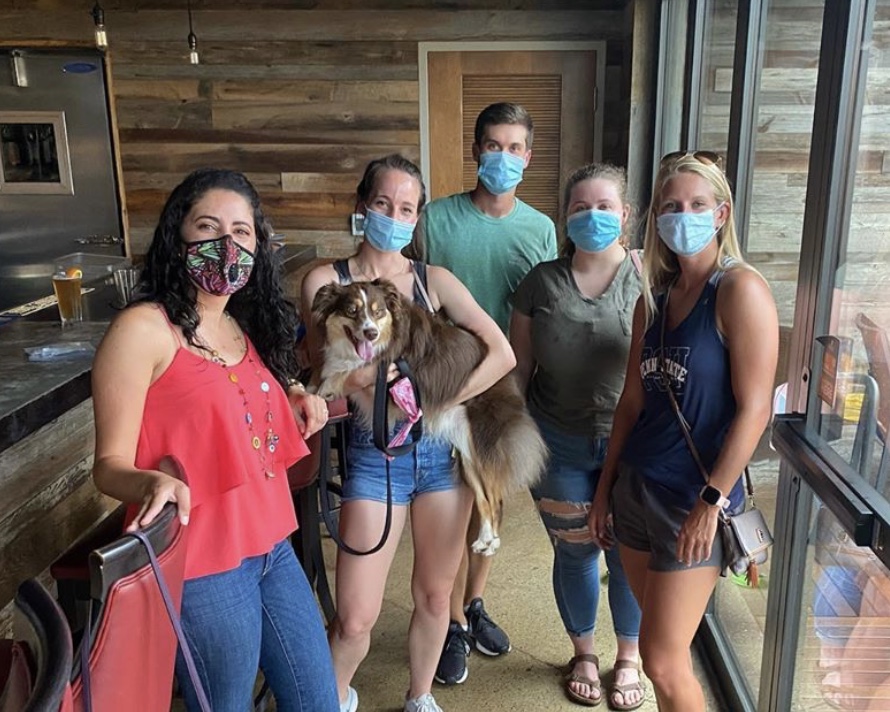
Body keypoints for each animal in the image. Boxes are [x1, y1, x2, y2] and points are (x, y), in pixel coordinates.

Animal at [312, 280, 548, 556]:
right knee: (485, 500)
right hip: (468, 458)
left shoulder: (394, 379)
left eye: (378, 312)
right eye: (351, 311)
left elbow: (350, 372)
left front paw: (327, 386)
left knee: (495, 498)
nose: (371, 333)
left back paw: (493, 544)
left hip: (484, 447)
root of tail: (513, 389)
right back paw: (484, 539)